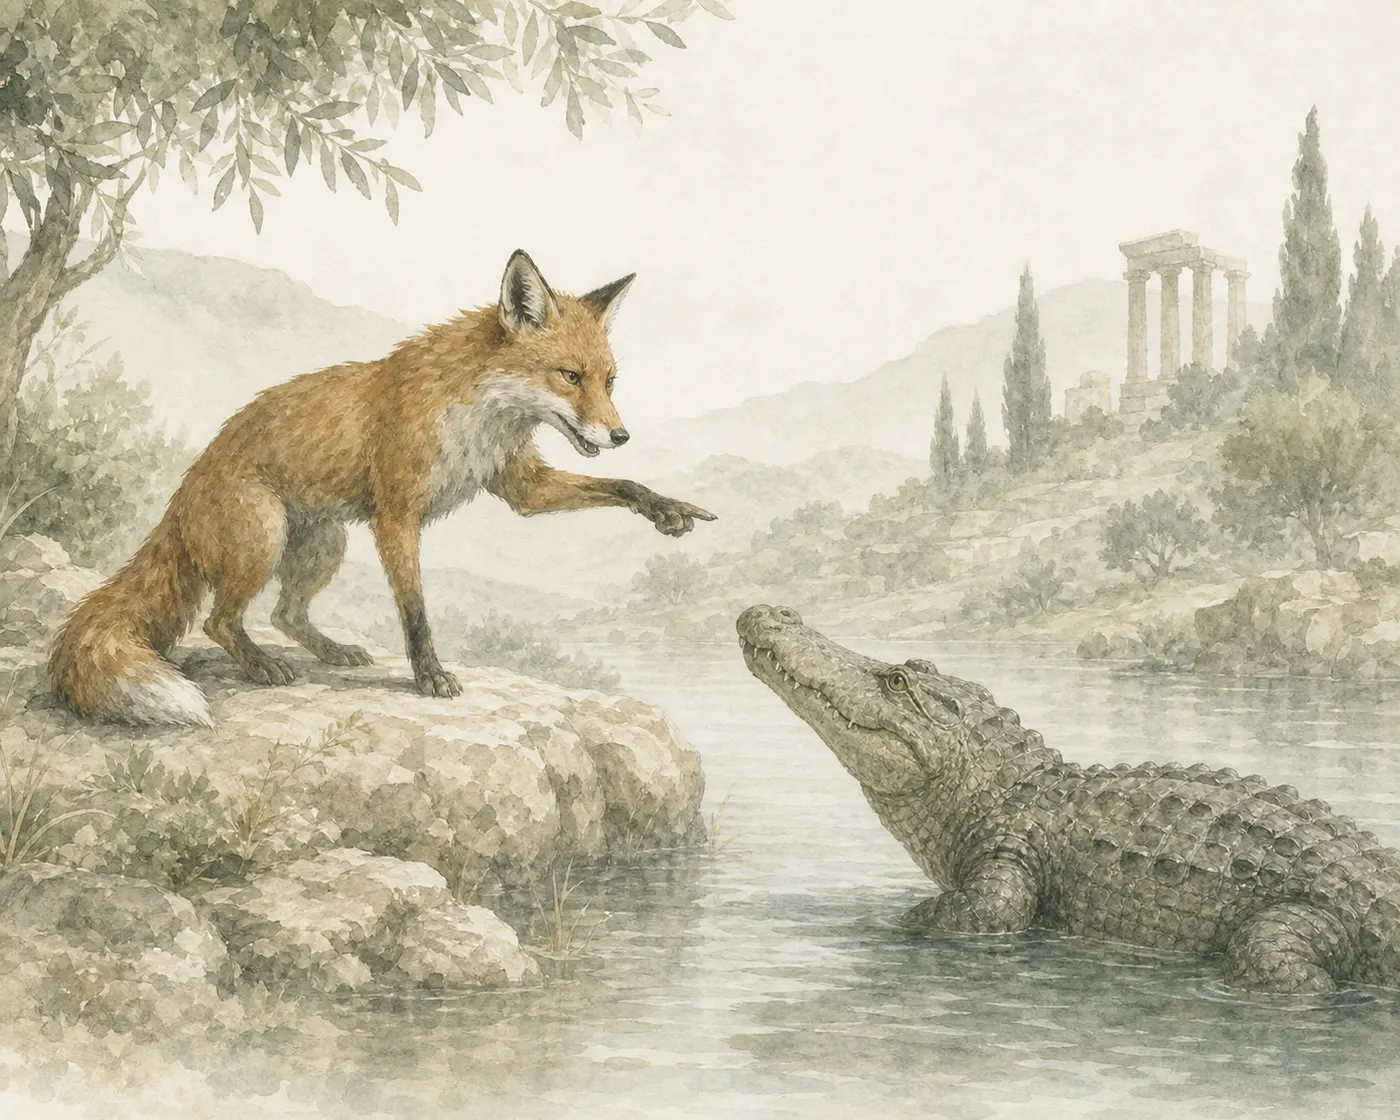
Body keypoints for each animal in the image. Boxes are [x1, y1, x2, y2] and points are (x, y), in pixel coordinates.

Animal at [49, 250, 716, 727]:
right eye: (569, 376)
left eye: (609, 380)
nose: (621, 433)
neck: (480, 417)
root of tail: (185, 488)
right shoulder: (395, 515)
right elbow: (415, 612)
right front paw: (430, 678)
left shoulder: (520, 485)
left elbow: (619, 485)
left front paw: (666, 508)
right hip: (264, 538)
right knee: (220, 621)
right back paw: (263, 666)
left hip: (324, 544)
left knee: (286, 613)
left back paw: (330, 651)